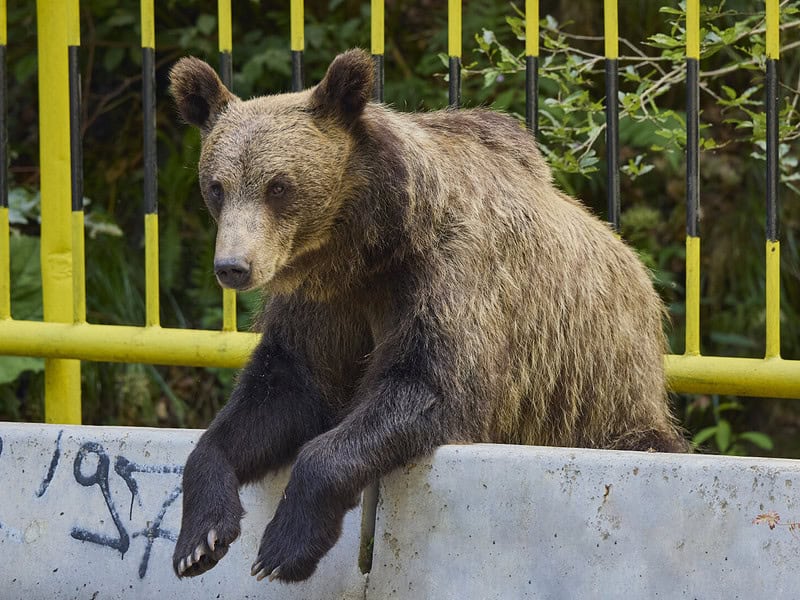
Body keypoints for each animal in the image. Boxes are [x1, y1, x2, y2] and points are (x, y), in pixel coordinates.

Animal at [169, 49, 688, 584]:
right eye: (217, 186)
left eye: (278, 185)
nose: (233, 266)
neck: (365, 246)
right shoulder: (324, 306)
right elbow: (282, 389)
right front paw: (200, 538)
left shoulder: (446, 277)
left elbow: (428, 385)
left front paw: (283, 547)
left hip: (597, 397)